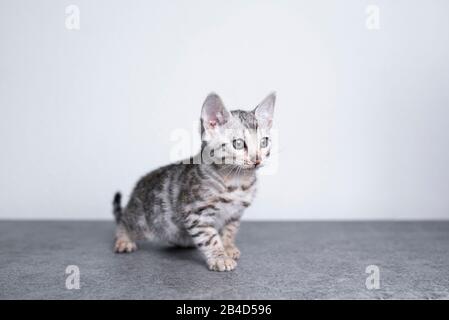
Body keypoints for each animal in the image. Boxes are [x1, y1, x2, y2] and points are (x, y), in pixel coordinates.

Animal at [113, 91, 272, 272]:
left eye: (264, 142)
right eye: (238, 144)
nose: (257, 159)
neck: (237, 182)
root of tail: (138, 187)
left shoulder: (235, 214)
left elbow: (229, 231)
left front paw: (228, 247)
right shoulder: (196, 212)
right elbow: (210, 238)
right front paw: (220, 257)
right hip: (142, 219)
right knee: (125, 222)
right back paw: (124, 240)